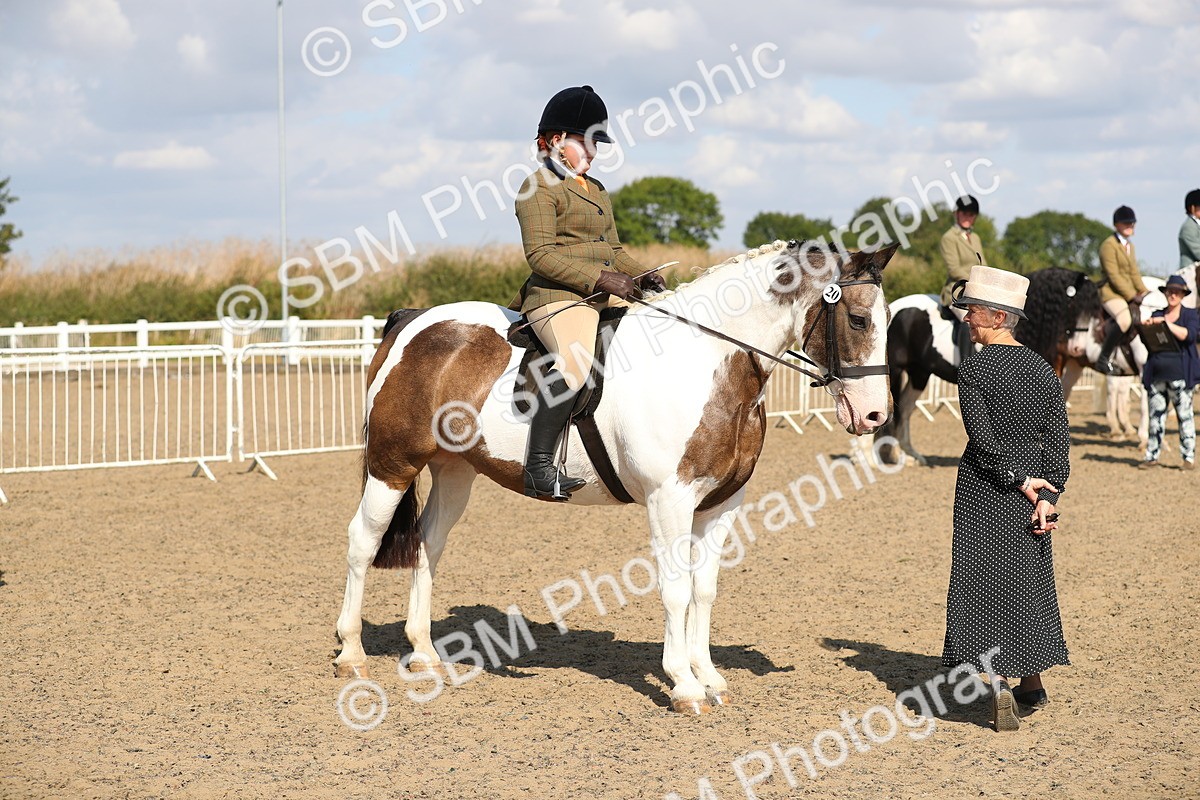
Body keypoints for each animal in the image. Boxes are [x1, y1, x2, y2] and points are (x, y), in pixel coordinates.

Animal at [333, 240, 898, 714]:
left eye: (889, 319)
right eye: (858, 319)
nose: (875, 416)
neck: (705, 362)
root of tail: (413, 320)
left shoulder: (720, 505)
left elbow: (704, 588)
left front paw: (710, 677)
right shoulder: (670, 501)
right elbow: (675, 589)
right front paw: (684, 686)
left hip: (455, 471)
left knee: (428, 543)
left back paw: (424, 652)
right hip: (393, 464)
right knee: (363, 541)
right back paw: (352, 653)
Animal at [876, 267, 1098, 466]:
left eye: (1094, 312)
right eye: (1076, 306)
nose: (1079, 349)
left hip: (919, 373)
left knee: (905, 410)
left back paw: (910, 455)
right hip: (896, 370)